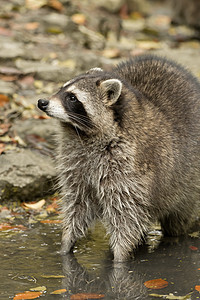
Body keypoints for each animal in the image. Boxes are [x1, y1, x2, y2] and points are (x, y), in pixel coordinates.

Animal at [38, 55, 200, 262]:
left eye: (72, 98)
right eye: (61, 88)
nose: (41, 102)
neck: (82, 134)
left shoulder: (129, 168)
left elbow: (126, 215)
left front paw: (120, 260)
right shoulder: (76, 162)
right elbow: (77, 204)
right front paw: (66, 244)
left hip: (188, 184)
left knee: (178, 217)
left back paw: (174, 236)